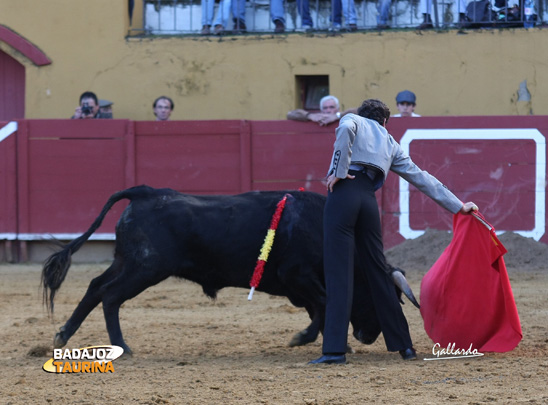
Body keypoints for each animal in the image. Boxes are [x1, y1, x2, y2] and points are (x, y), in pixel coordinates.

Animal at [42, 185, 420, 356]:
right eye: (381, 296)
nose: (368, 336)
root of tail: (145, 193)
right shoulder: (297, 276)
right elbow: (324, 306)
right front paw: (305, 338)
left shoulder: (301, 286)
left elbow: (320, 308)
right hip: (145, 268)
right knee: (110, 296)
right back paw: (122, 345)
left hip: (128, 262)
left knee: (95, 287)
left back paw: (62, 336)